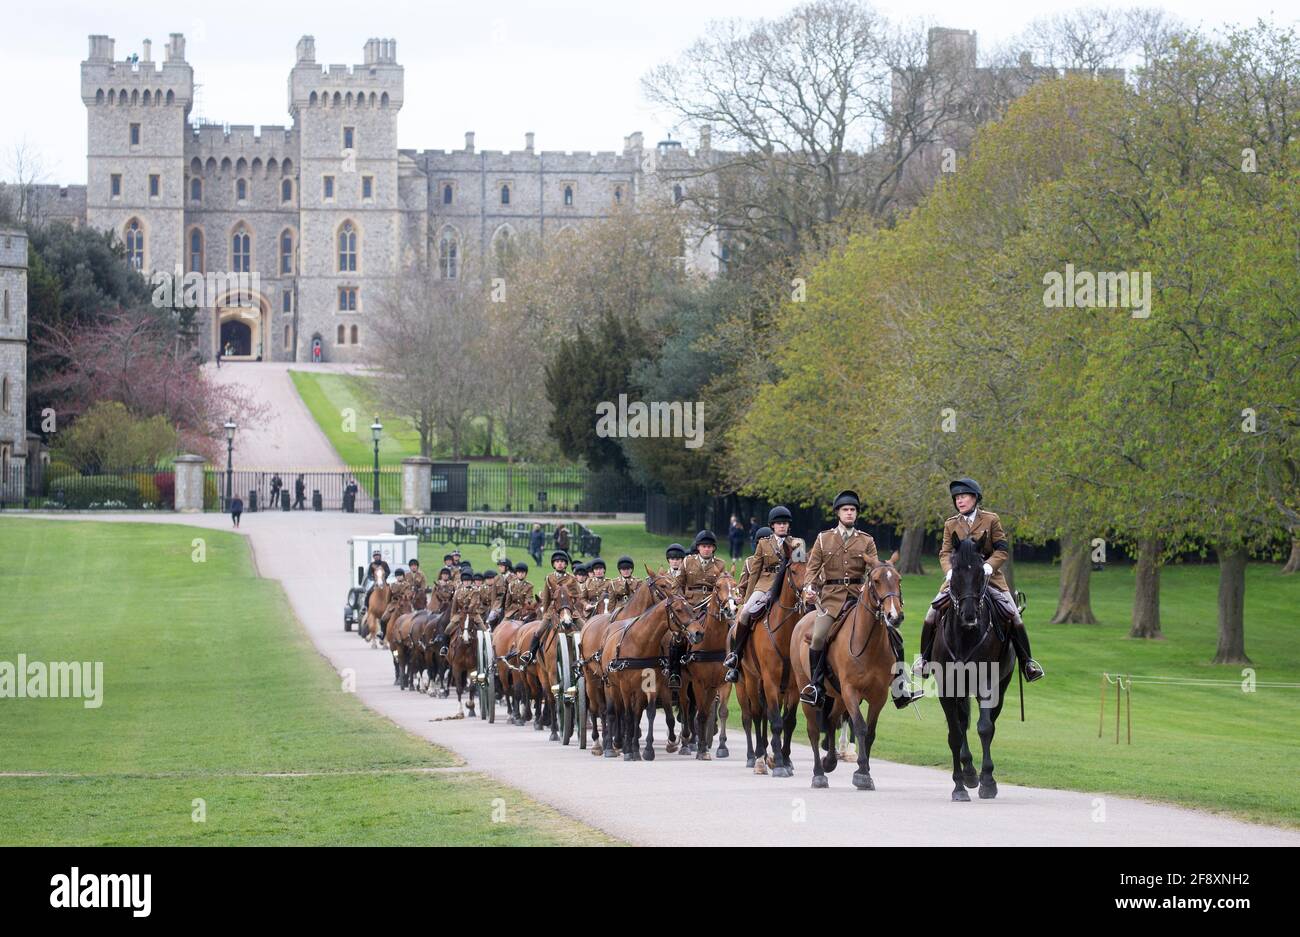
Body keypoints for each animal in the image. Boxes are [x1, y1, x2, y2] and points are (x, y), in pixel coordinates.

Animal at [935, 538, 1013, 800]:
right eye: (956, 572)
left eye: (981, 573)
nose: (969, 615)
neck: (965, 636)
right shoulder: (947, 689)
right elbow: (955, 735)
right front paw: (960, 785)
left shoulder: (987, 684)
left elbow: (985, 728)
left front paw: (988, 780)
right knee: (961, 724)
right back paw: (968, 771)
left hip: (1001, 687)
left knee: (989, 723)